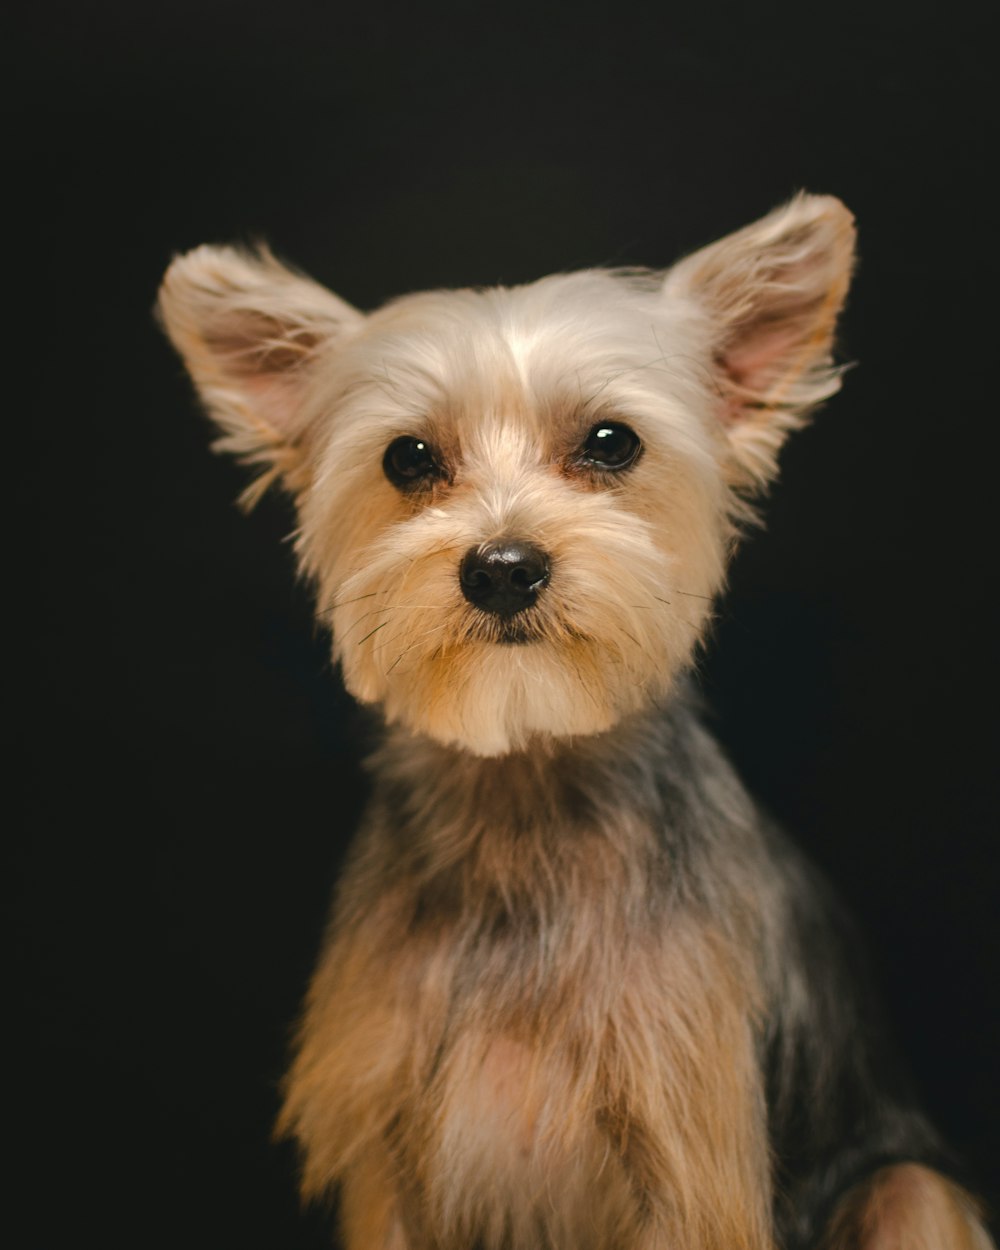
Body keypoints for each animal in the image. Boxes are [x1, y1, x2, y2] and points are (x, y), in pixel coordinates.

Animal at [158, 197, 990, 1250]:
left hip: (907, 1185)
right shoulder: (389, 1154)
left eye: (611, 441)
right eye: (406, 458)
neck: (527, 777)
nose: (503, 567)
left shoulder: (687, 1164)